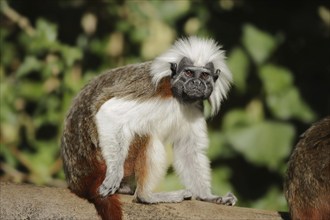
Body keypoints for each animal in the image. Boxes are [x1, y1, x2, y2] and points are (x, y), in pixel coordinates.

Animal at [61, 37, 237, 219]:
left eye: (204, 75)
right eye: (188, 73)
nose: (196, 83)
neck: (178, 98)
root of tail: (80, 179)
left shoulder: (194, 107)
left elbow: (188, 149)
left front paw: (207, 196)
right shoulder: (157, 91)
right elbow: (109, 112)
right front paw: (114, 173)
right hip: (101, 161)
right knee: (146, 136)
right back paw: (145, 195)